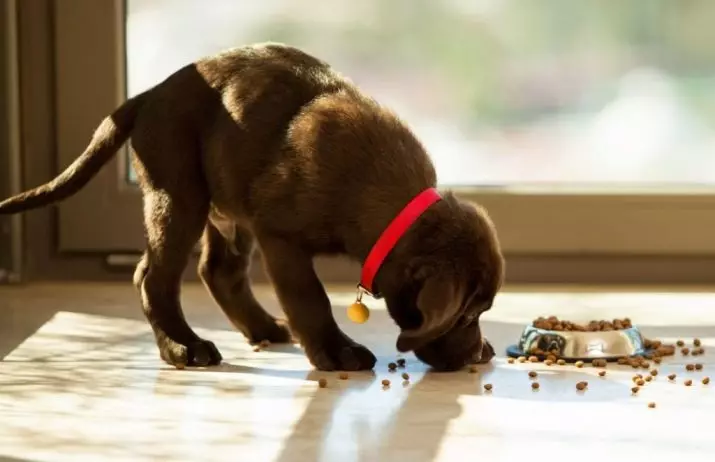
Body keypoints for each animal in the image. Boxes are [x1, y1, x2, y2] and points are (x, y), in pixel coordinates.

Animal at [0, 42, 504, 372]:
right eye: (467, 315)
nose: (481, 355)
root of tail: (148, 96)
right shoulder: (281, 237)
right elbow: (311, 298)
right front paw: (336, 351)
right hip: (179, 195)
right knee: (152, 277)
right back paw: (183, 348)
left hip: (226, 207)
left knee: (218, 270)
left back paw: (261, 327)